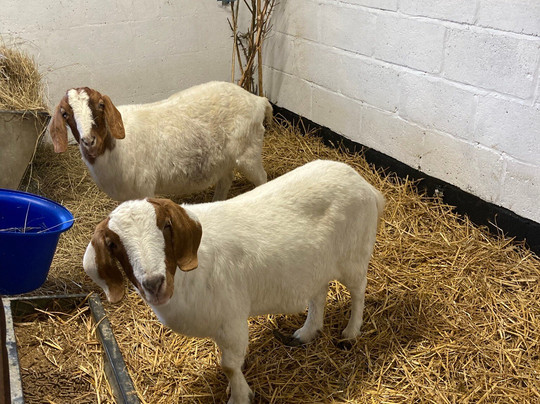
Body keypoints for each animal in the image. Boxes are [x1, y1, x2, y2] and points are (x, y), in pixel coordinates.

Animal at [49, 81, 270, 201]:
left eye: (101, 105)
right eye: (65, 114)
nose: (89, 141)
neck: (116, 148)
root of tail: (259, 101)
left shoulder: (144, 188)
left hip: (249, 151)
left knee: (263, 178)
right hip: (224, 158)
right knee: (226, 179)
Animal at [83, 159, 385, 404]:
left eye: (166, 226)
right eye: (113, 244)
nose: (154, 283)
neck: (188, 275)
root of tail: (367, 186)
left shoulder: (232, 319)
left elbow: (228, 365)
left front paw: (240, 396)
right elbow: (229, 363)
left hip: (354, 256)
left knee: (359, 291)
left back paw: (350, 332)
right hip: (317, 263)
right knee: (319, 292)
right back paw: (307, 332)